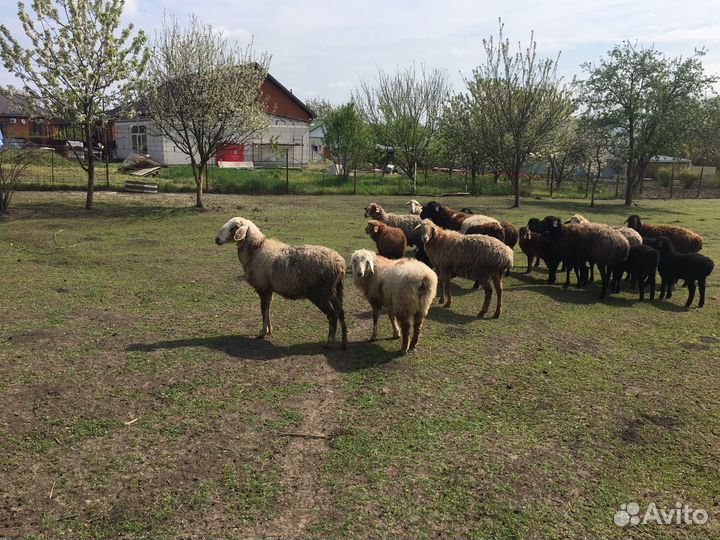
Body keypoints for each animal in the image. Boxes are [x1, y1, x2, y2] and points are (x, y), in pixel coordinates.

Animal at [215, 217, 348, 349]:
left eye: (234, 227)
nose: (216, 239)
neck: (256, 249)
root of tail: (340, 264)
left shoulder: (262, 288)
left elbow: (263, 310)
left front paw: (263, 333)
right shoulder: (269, 289)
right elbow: (268, 309)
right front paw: (269, 330)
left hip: (320, 293)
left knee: (332, 315)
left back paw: (330, 342)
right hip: (336, 291)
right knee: (341, 313)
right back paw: (344, 343)